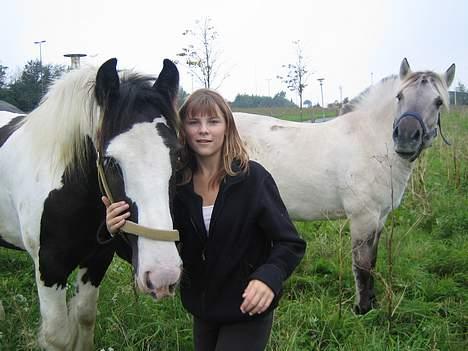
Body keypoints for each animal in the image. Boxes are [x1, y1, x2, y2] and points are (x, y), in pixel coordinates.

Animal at [0, 57, 182, 350]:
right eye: (109, 161)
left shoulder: (98, 258)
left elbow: (84, 316)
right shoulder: (49, 266)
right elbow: (58, 335)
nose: (163, 275)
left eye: (177, 155)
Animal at [236, 59, 456, 314]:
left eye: (438, 102)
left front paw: (372, 303)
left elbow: (373, 261)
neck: (370, 142)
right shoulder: (363, 218)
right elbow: (362, 265)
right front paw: (361, 309)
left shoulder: (380, 218)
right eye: (399, 96)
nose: (406, 137)